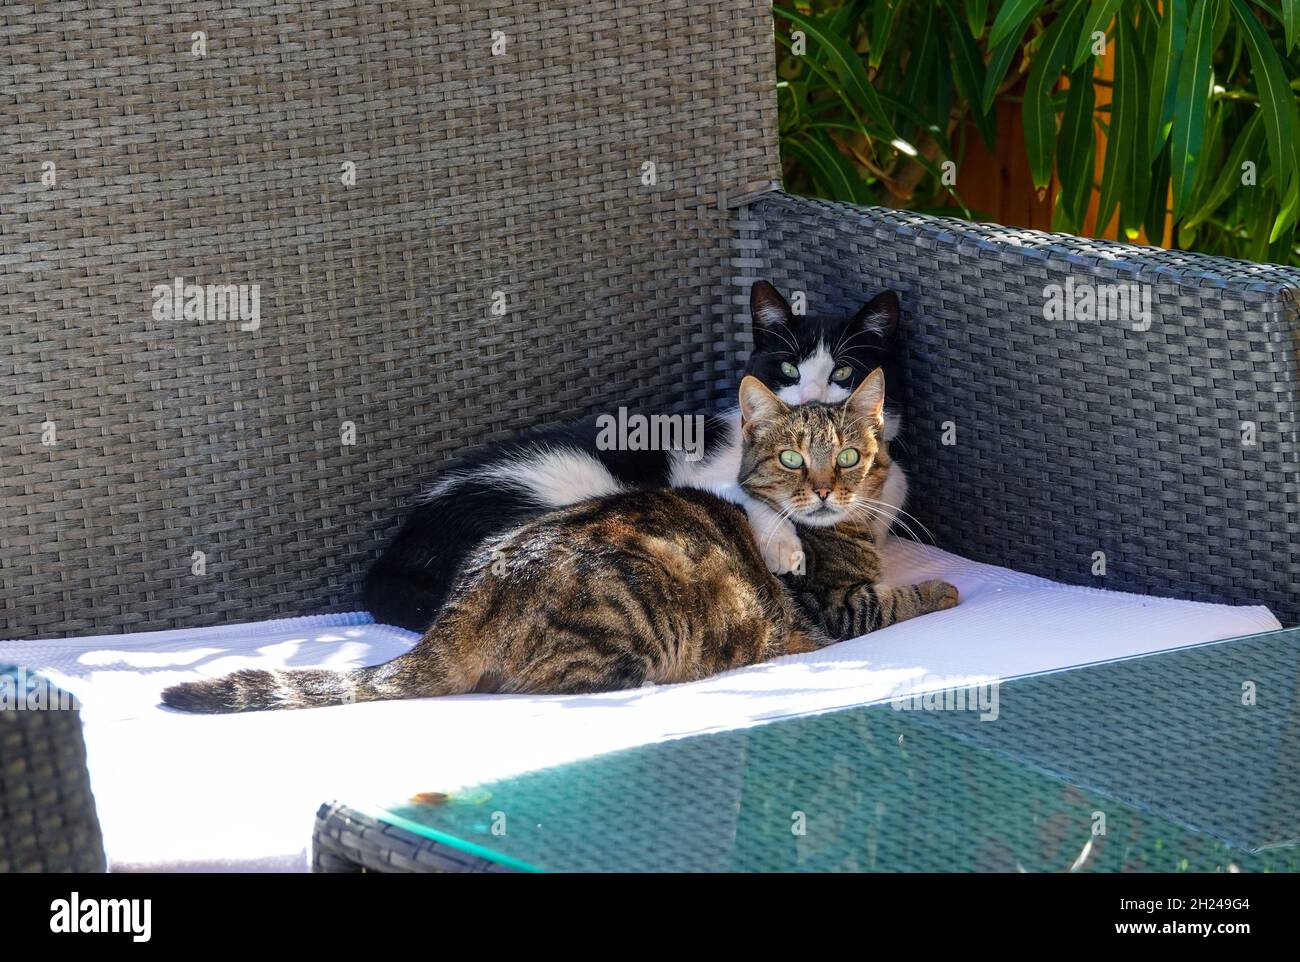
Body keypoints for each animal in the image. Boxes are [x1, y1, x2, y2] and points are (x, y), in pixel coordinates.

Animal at [366, 279, 909, 631]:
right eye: (788, 369)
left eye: (842, 373)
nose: (809, 399)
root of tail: (396, 556)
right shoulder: (700, 474)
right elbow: (742, 495)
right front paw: (782, 544)